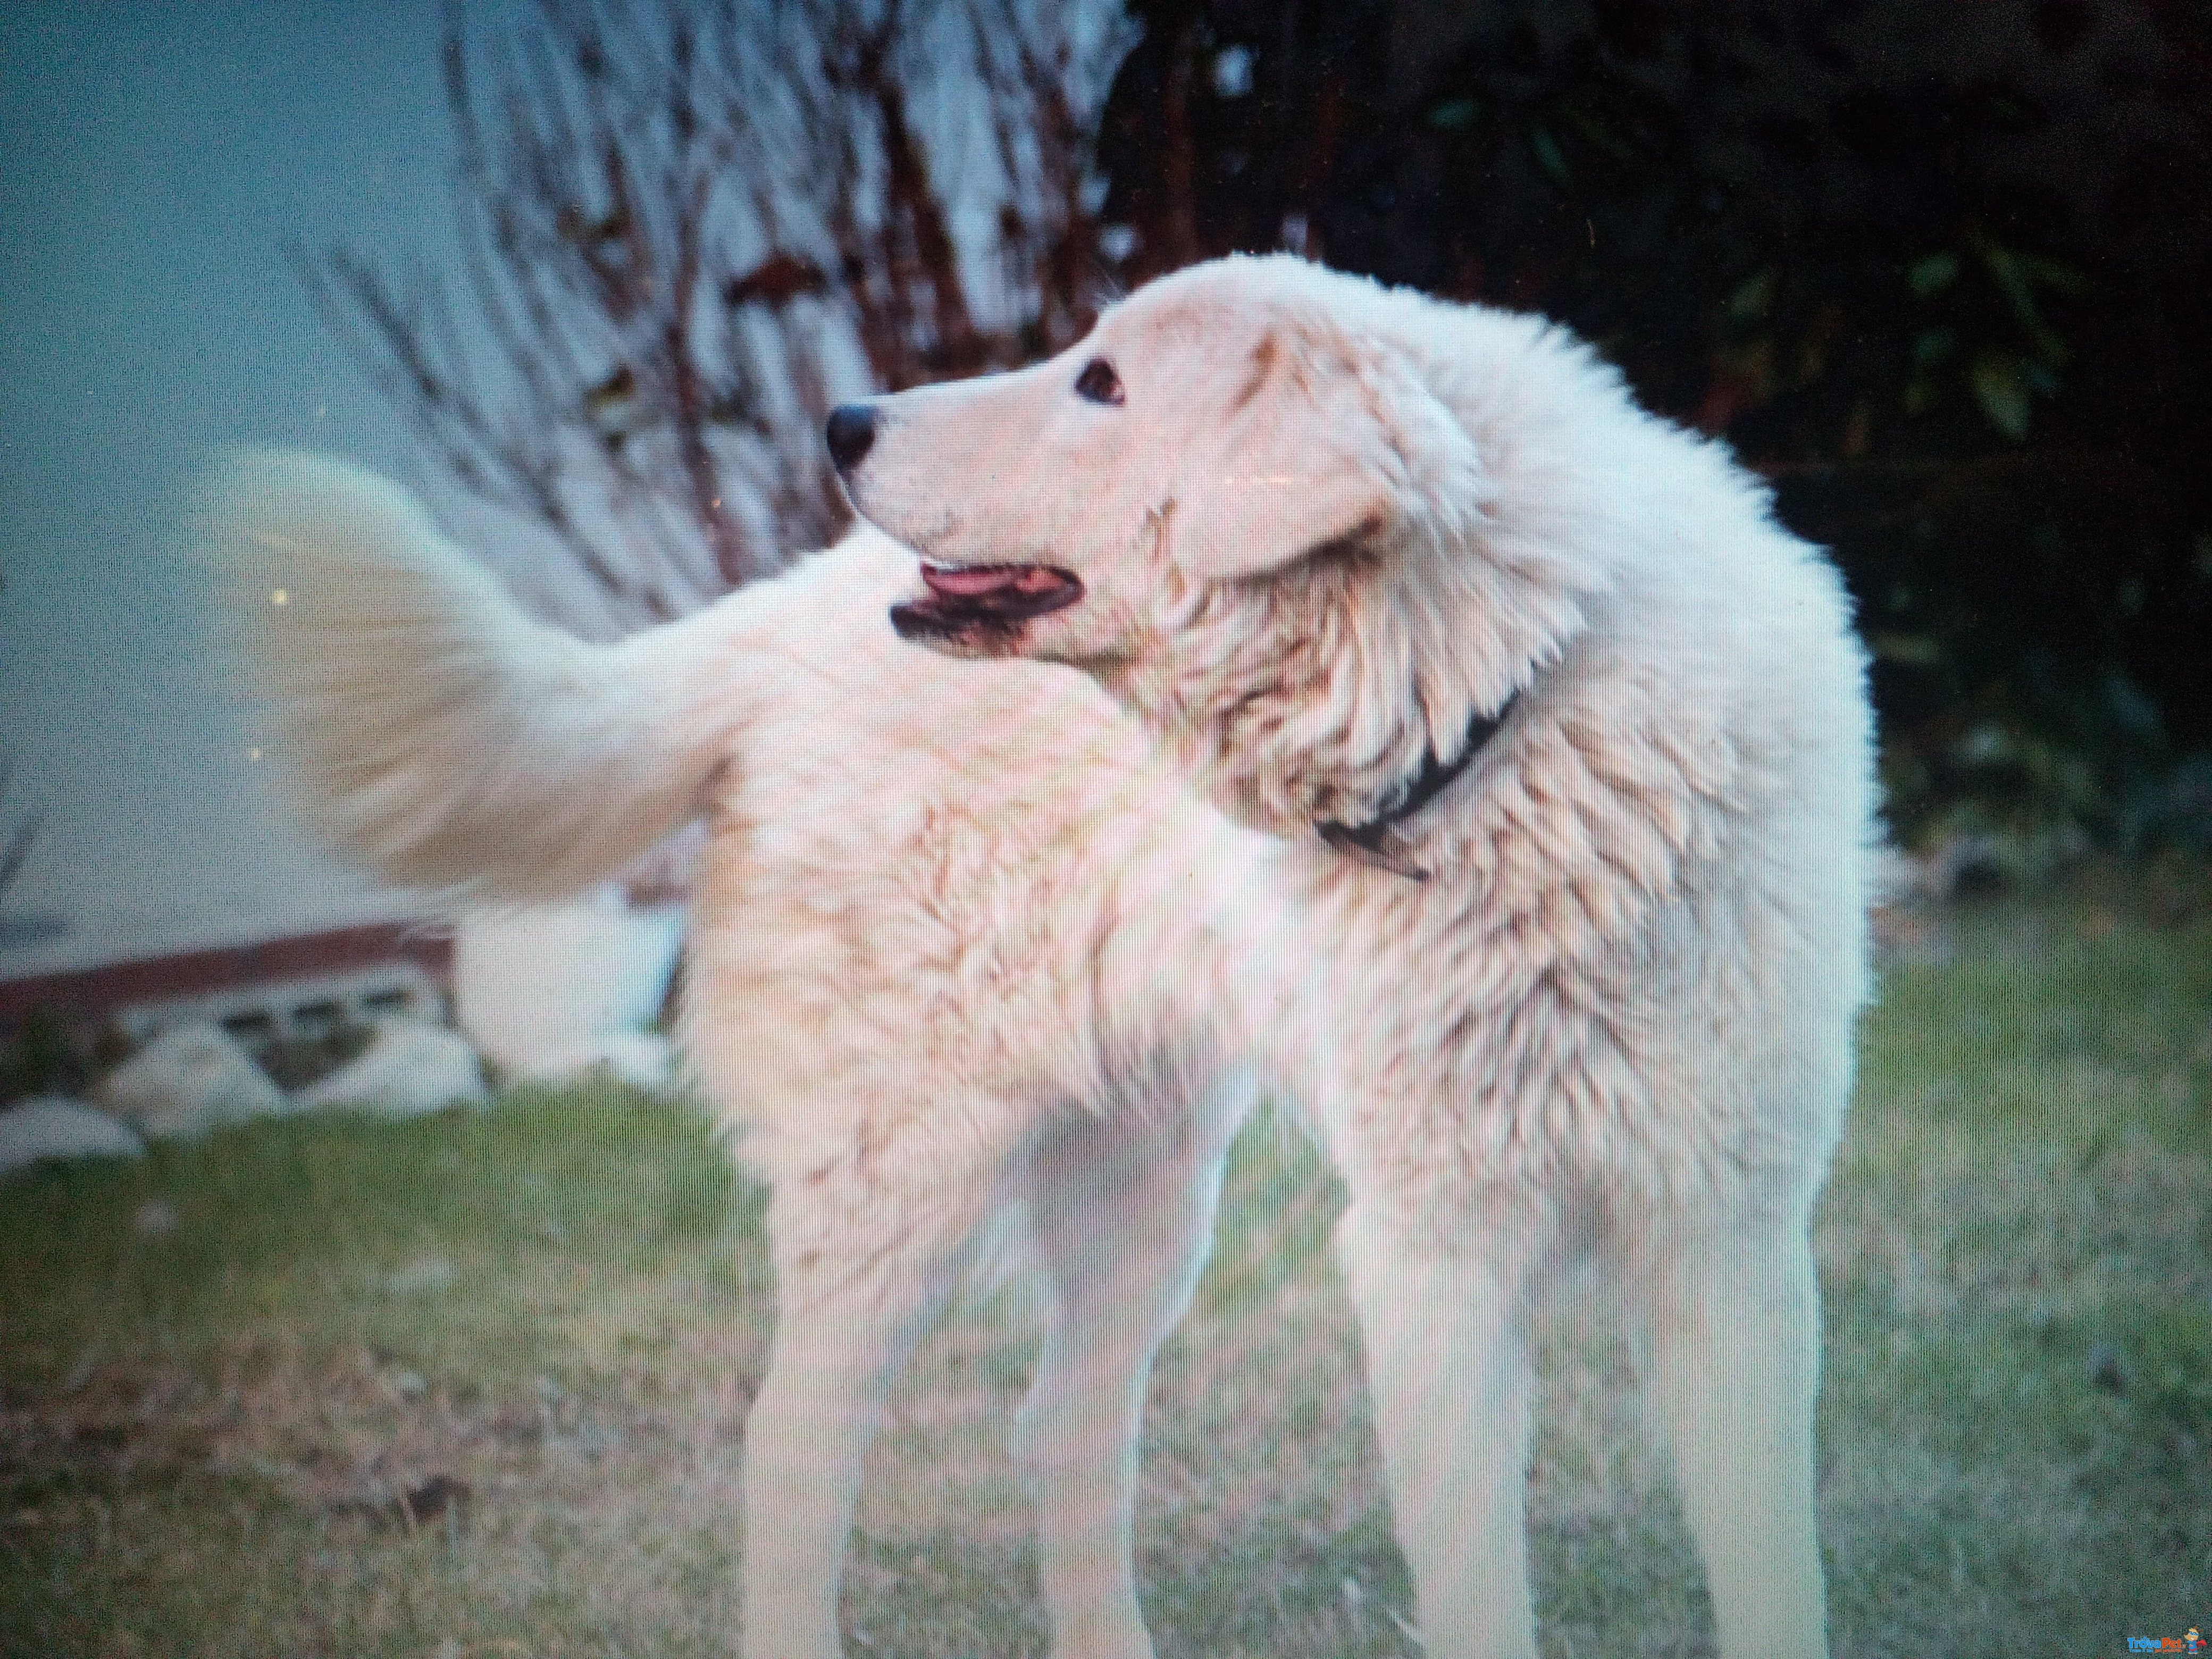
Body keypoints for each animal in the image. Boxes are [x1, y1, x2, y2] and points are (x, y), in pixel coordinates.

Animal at [836, 253, 1875, 1659]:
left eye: (1102, 383)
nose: (841, 422)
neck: (1507, 720)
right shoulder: (1430, 1257)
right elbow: (1480, 1590)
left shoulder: (1728, 1241)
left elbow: (1773, 1576)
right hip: (904, 1184)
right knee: (787, 1465)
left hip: (1141, 1189)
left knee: (1056, 1428)